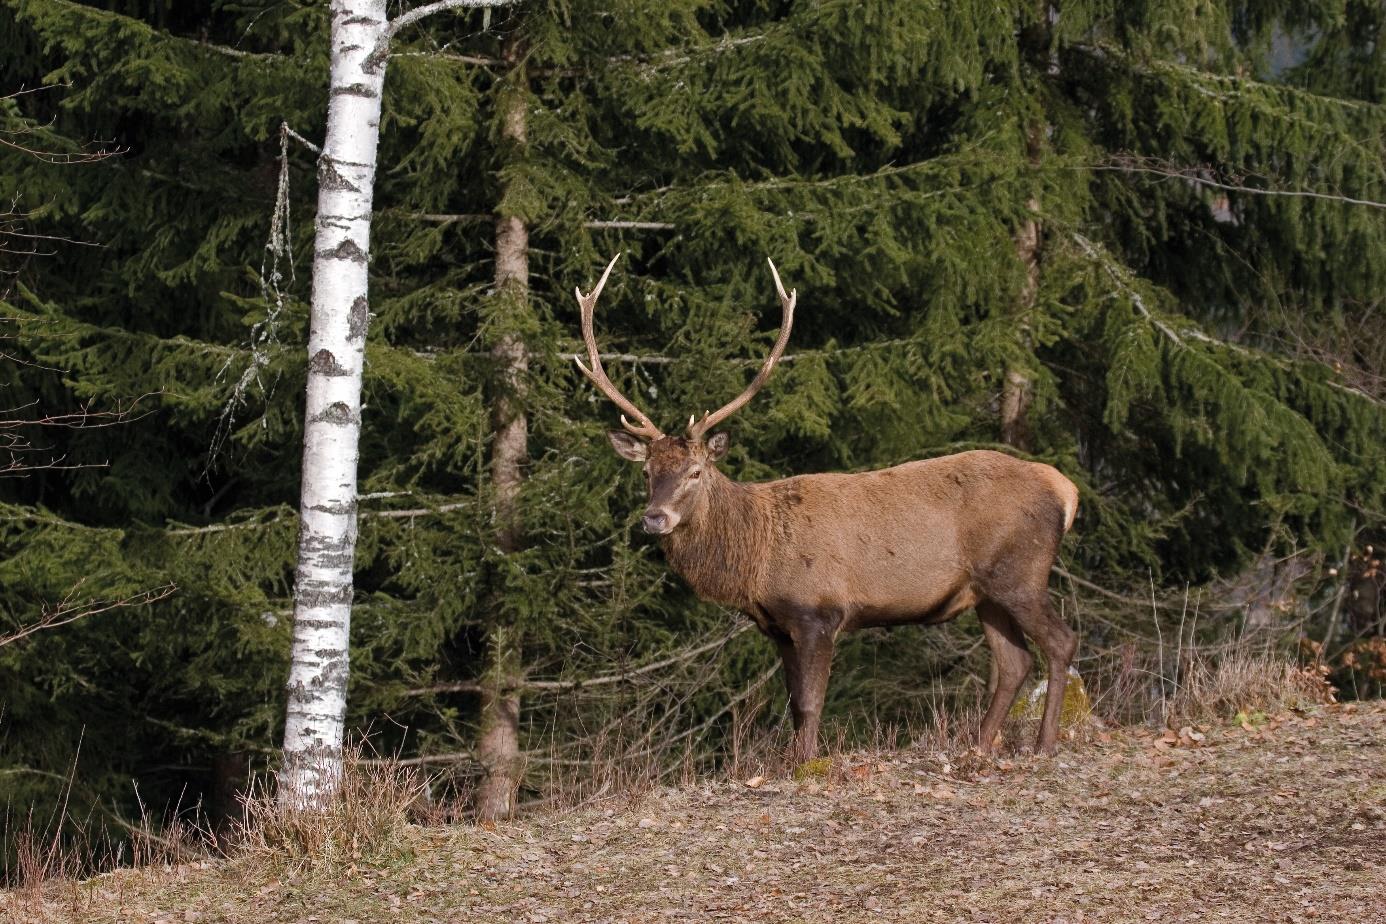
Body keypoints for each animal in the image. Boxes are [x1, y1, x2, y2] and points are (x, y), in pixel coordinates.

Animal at [573, 254, 1080, 763]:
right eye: (646, 472)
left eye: (696, 472)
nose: (654, 518)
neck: (757, 557)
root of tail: (1065, 489)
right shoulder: (779, 626)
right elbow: (795, 704)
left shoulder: (819, 610)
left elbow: (811, 702)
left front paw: (805, 764)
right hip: (987, 591)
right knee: (1015, 661)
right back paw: (977, 744)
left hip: (1021, 571)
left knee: (1060, 642)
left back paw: (1044, 743)